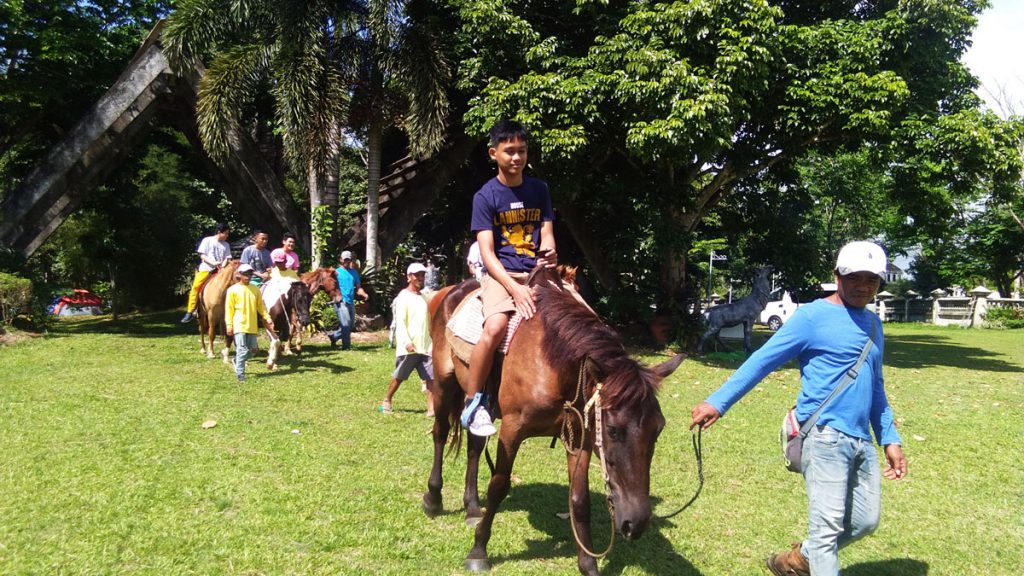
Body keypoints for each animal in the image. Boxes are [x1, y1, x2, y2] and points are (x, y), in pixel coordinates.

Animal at [423, 268, 688, 573]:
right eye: (612, 430)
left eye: (658, 430)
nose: (636, 523)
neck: (552, 364)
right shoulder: (512, 430)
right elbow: (499, 486)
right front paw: (478, 550)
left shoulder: (580, 437)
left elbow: (580, 500)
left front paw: (589, 565)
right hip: (444, 384)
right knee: (441, 433)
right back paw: (433, 499)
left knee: (474, 446)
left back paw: (472, 507)